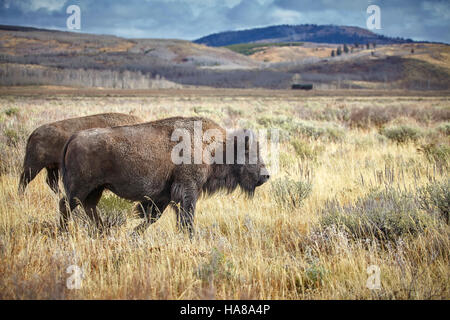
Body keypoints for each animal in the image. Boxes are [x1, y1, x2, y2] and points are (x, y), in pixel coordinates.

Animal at [59, 117, 270, 235]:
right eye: (248, 153)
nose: (266, 175)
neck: (215, 147)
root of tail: (74, 137)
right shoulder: (187, 189)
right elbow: (186, 217)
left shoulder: (166, 196)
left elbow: (155, 217)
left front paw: (133, 234)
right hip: (80, 187)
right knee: (66, 205)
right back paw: (63, 233)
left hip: (96, 189)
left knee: (88, 207)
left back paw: (102, 232)